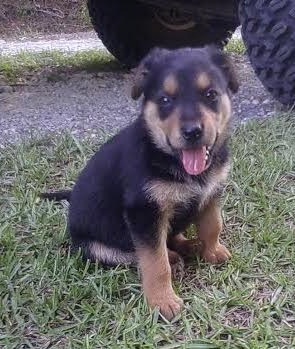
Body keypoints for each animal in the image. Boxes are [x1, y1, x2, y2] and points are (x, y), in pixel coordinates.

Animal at [41, 47, 239, 320]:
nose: (192, 132)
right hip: (96, 247)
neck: (170, 159)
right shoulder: (144, 213)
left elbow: (212, 226)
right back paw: (174, 257)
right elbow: (155, 262)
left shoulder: (211, 193)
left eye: (211, 94)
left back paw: (188, 246)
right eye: (165, 100)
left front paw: (213, 252)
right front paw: (162, 302)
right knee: (135, 255)